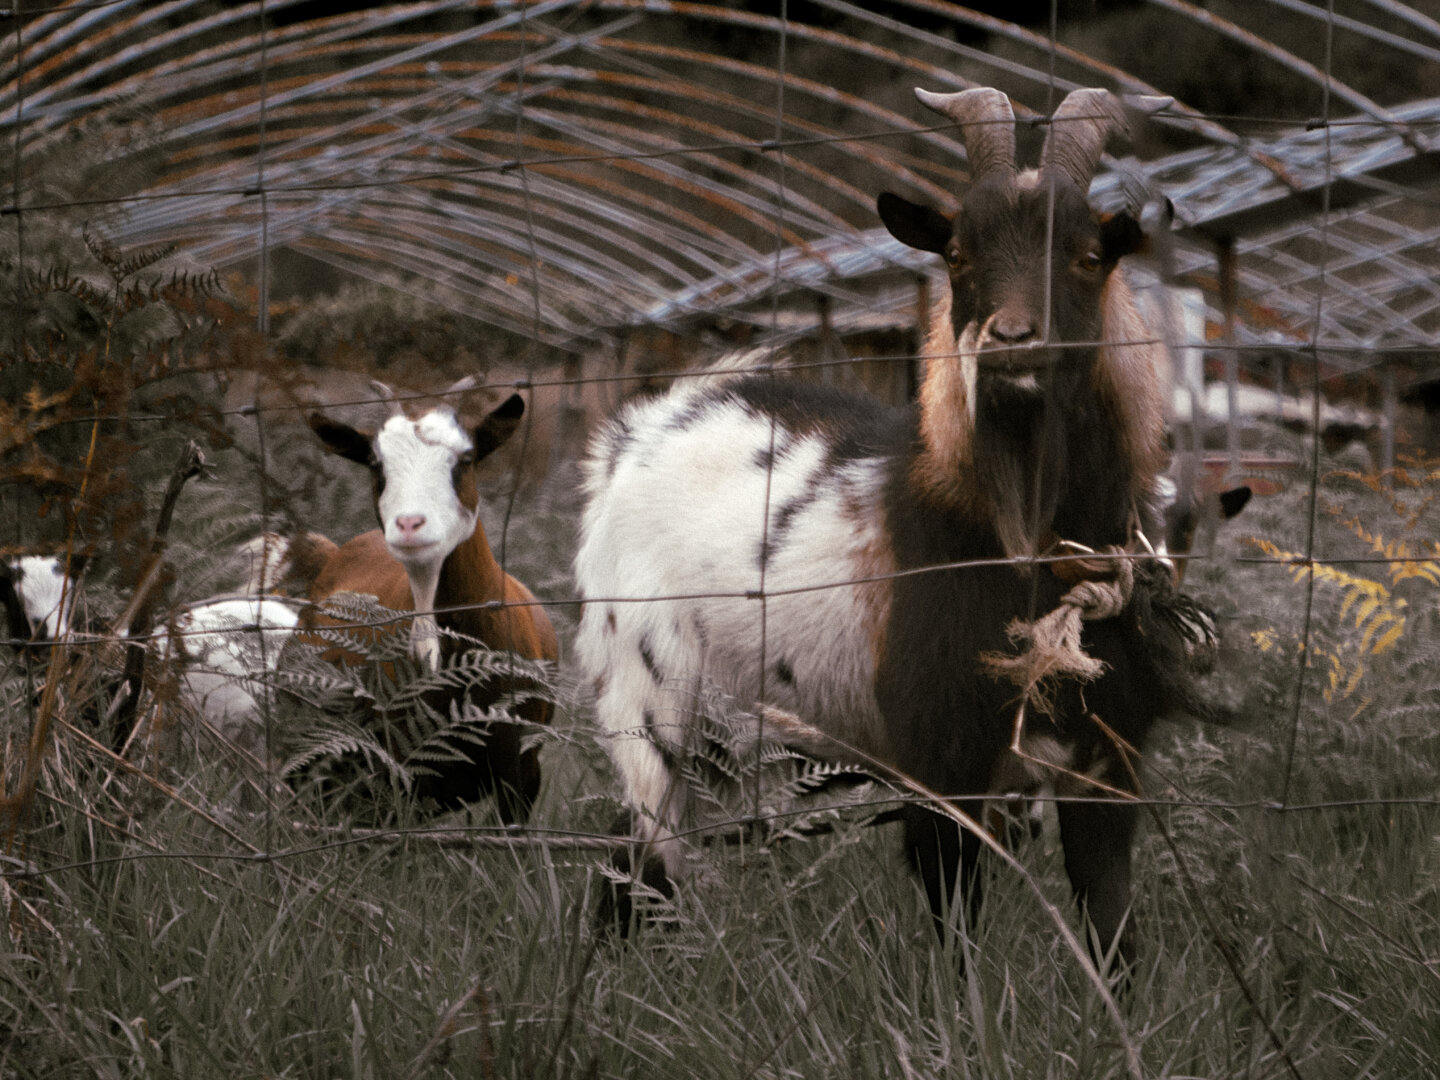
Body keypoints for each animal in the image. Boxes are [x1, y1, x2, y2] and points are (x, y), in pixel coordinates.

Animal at [574, 87, 1209, 972]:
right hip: (649, 703)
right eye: (957, 253)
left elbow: (1114, 925)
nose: (1013, 342)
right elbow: (955, 930)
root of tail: (636, 434)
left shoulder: (1107, 765)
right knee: (640, 860)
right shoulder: (942, 765)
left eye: (1089, 253)